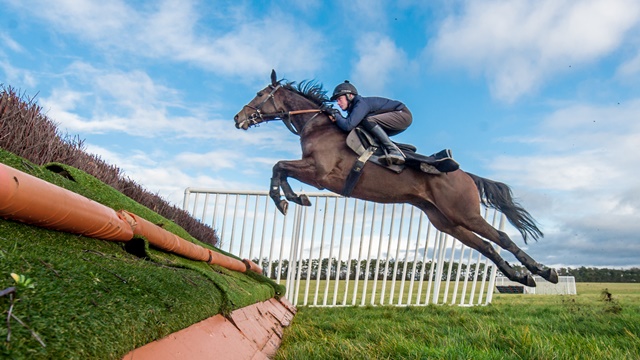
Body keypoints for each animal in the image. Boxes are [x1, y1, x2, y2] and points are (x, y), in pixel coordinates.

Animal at [234, 69, 556, 286]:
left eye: (259, 94)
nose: (238, 118)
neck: (317, 125)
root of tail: (465, 175)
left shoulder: (321, 174)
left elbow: (278, 166)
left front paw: (286, 199)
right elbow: (279, 168)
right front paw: (292, 198)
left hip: (464, 212)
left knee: (501, 237)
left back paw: (543, 272)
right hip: (445, 221)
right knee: (486, 246)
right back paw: (523, 277)